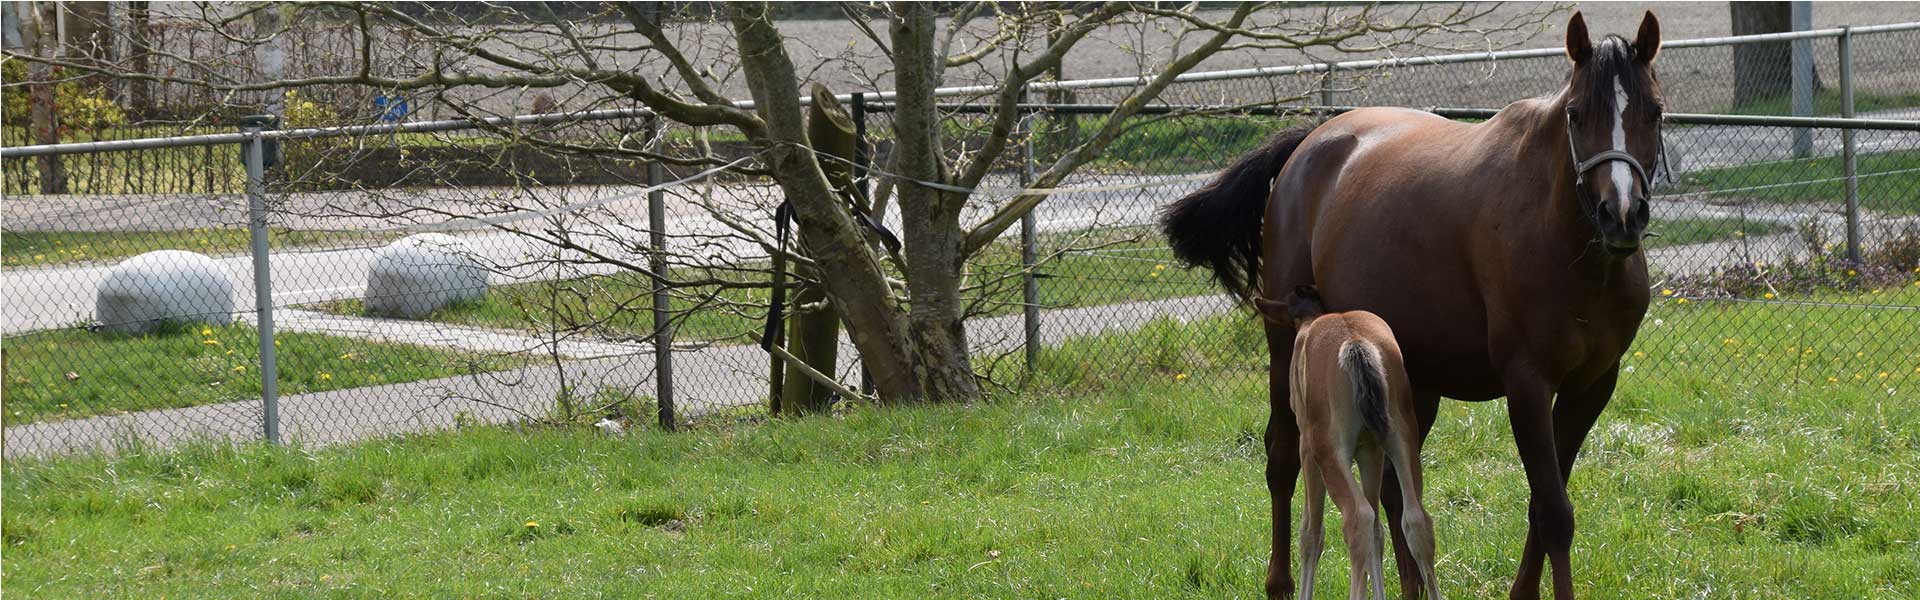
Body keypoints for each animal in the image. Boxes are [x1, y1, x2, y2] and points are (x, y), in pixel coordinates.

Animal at [1264, 285, 1443, 600]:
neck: (1309, 322)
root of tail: (1356, 344)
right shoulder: (1370, 450)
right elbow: (1378, 532)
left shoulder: (1307, 450)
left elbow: (1311, 533)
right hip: (1402, 437)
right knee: (1415, 520)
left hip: (1329, 452)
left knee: (1357, 517)